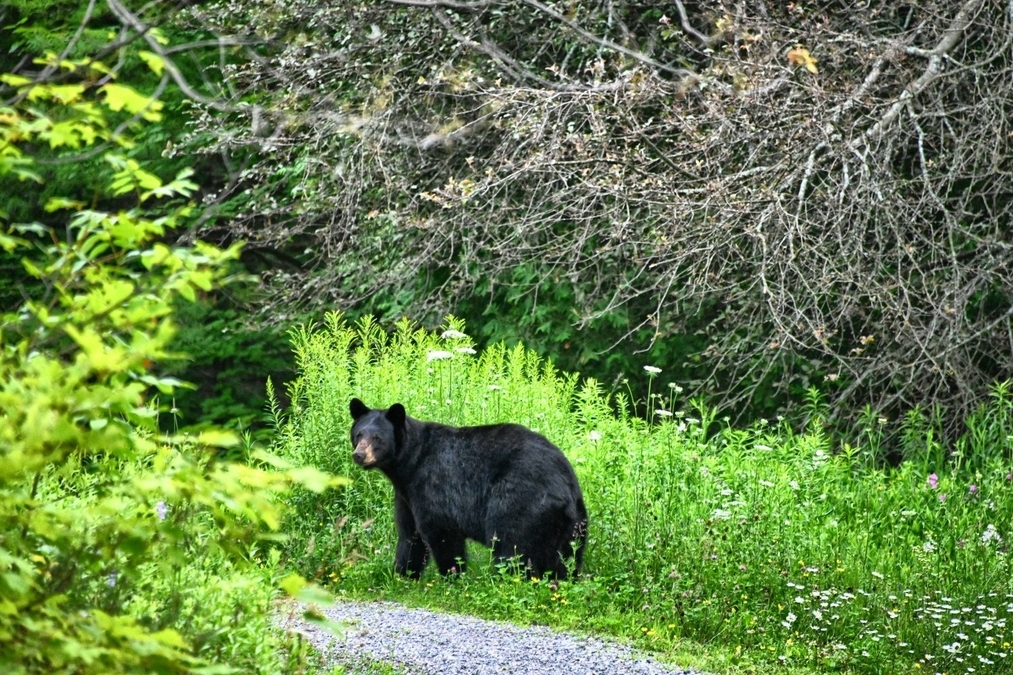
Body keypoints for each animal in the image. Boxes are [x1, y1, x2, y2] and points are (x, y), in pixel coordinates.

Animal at [350, 395, 591, 579]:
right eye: (359, 434)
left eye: (377, 438)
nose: (359, 455)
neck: (409, 465)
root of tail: (564, 487)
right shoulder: (405, 496)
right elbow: (410, 535)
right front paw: (402, 574)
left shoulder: (433, 484)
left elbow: (441, 532)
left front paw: (452, 577)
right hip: (573, 523)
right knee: (566, 556)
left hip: (519, 503)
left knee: (510, 546)